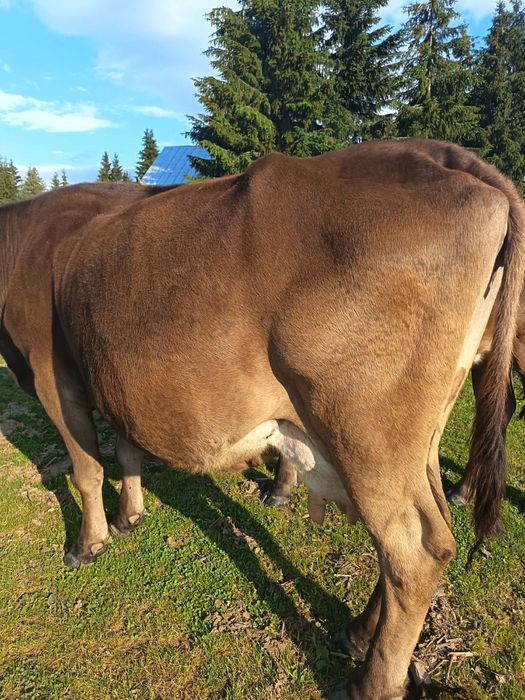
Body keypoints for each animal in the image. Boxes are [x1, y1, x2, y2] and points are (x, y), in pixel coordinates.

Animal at [1, 138, 523, 699]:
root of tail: (448, 156)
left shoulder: (53, 376)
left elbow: (87, 468)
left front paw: (87, 543)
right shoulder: (115, 375)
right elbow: (125, 447)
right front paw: (129, 516)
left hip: (366, 435)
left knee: (415, 550)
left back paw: (371, 682)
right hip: (422, 432)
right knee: (429, 527)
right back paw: (359, 631)